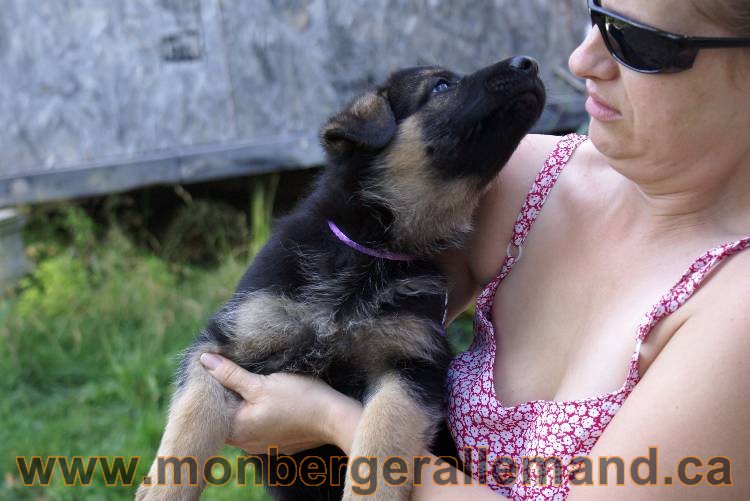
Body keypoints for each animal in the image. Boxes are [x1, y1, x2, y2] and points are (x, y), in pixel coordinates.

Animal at [135, 56, 548, 498]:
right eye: (441, 86)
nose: (529, 63)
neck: (369, 250)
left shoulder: (412, 365)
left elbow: (382, 438)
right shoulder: (221, 343)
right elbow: (192, 419)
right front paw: (162, 491)